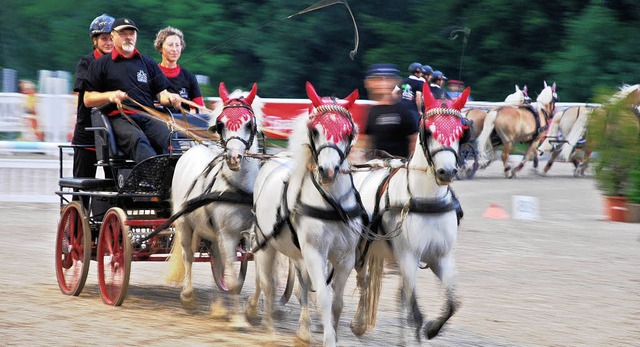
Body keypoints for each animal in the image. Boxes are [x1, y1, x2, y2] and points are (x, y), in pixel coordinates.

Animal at [168, 81, 262, 326]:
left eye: (249, 124)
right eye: (221, 124)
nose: (234, 158)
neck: (238, 189)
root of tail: (191, 148)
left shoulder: (254, 234)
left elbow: (261, 273)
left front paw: (250, 309)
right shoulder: (227, 235)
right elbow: (232, 274)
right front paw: (239, 319)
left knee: (215, 261)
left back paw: (219, 307)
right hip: (184, 224)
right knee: (189, 256)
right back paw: (188, 296)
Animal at [246, 83, 362, 346]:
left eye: (347, 131)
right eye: (316, 130)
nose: (328, 171)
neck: (332, 204)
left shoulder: (345, 257)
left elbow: (336, 302)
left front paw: (329, 332)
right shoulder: (315, 252)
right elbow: (325, 298)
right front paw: (329, 339)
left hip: (298, 254)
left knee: (301, 284)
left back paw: (303, 329)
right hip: (265, 243)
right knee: (266, 283)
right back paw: (267, 325)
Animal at [350, 83, 470, 342]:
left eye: (460, 133)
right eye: (430, 131)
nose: (446, 172)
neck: (426, 200)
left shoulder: (440, 257)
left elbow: (452, 303)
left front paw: (433, 329)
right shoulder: (408, 257)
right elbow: (415, 313)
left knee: (367, 283)